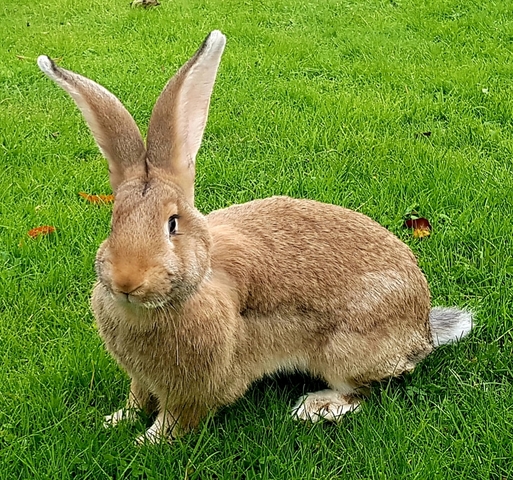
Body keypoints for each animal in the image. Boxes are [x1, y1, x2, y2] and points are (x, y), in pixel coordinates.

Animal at [38, 29, 472, 442]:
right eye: (114, 221)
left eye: (172, 224)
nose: (127, 281)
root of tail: (422, 329)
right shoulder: (141, 378)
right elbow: (136, 397)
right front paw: (115, 420)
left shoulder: (194, 390)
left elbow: (176, 421)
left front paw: (146, 443)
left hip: (345, 351)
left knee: (362, 391)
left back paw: (316, 407)